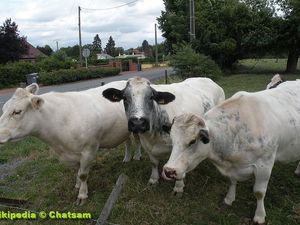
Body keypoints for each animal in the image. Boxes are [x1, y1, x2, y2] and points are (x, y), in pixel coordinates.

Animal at [0, 81, 140, 205]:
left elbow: (83, 174)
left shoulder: (89, 149)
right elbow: (77, 171)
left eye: (17, 111)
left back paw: (137, 156)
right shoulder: (72, 153)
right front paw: (77, 185)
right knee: (127, 141)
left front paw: (82, 195)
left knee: (137, 140)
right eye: (3, 109)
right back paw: (127, 158)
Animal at [163, 80, 300, 223]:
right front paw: (229, 199)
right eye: (172, 139)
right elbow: (232, 181)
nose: (168, 171)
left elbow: (259, 192)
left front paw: (259, 216)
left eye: (192, 141)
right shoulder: (232, 167)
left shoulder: (265, 165)